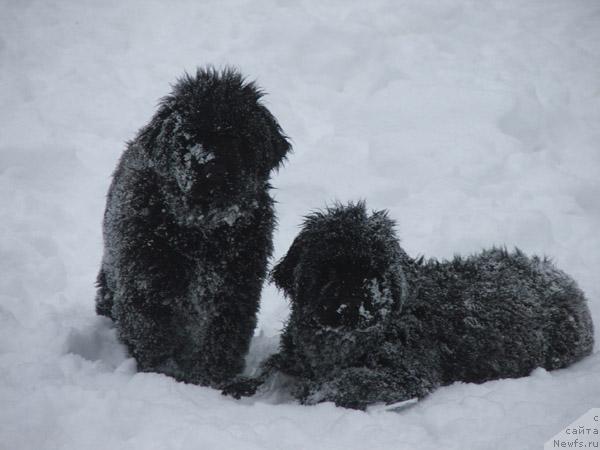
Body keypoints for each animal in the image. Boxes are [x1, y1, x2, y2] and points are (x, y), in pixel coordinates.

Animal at [95, 67, 290, 386]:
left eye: (238, 137)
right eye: (187, 136)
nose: (212, 167)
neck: (200, 232)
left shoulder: (236, 289)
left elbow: (222, 340)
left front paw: (211, 380)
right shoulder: (145, 285)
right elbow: (153, 336)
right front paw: (163, 376)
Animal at [225, 202, 596, 410]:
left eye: (374, 270)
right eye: (329, 268)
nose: (354, 304)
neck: (339, 338)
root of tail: (560, 276)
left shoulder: (408, 372)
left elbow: (349, 381)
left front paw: (314, 393)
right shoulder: (297, 353)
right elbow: (269, 367)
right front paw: (242, 385)